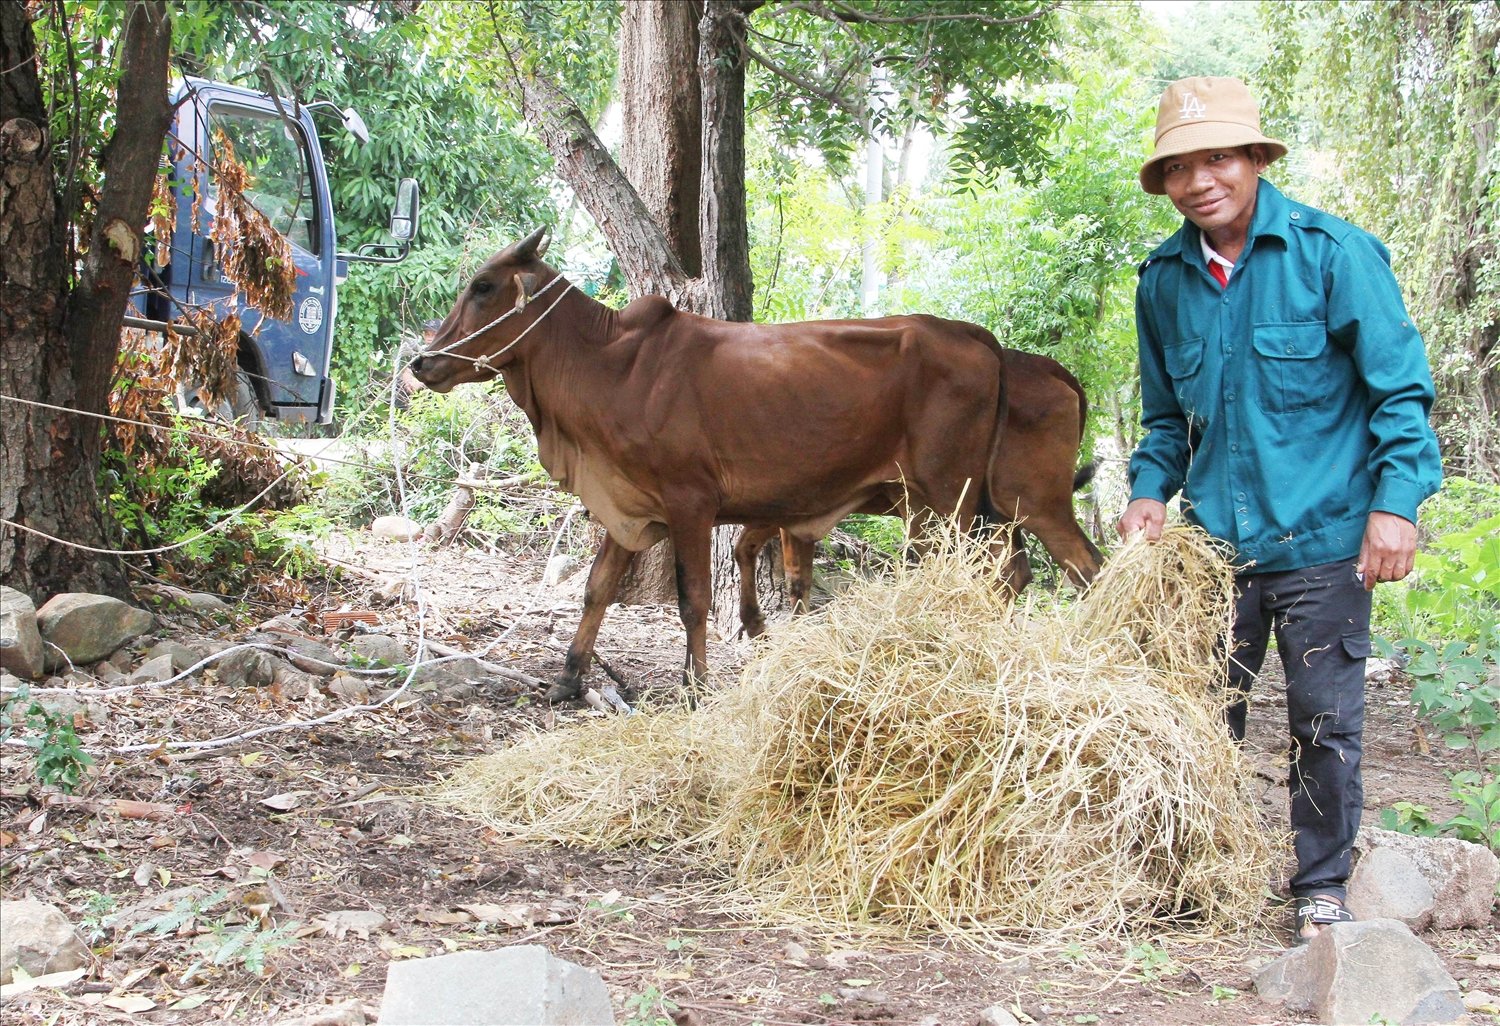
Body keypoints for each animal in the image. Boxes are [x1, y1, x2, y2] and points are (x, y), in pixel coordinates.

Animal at [411, 228, 1014, 702]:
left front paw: (696, 685)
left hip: (948, 498)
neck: (610, 365)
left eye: (483, 286)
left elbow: (692, 599)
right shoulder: (628, 505)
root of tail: (977, 337)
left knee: (982, 573)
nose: (421, 362)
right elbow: (596, 588)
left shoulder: (690, 503)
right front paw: (568, 679)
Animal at [729, 348, 1104, 636]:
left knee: (1085, 566)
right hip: (1000, 518)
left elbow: (787, 575)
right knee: (1015, 572)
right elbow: (776, 566)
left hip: (1036, 506)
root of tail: (1052, 370)